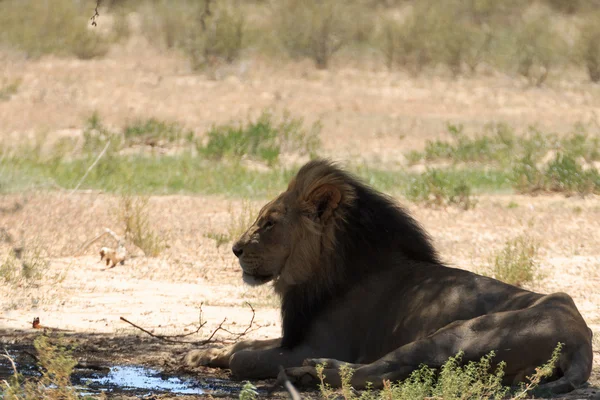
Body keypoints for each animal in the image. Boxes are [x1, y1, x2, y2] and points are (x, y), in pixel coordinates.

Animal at [185, 159, 592, 394]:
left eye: (269, 224)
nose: (236, 248)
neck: (319, 272)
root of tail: (580, 342)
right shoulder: (295, 336)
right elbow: (243, 344)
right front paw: (201, 354)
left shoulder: (316, 343)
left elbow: (245, 358)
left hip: (455, 335)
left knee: (382, 369)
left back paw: (311, 374)